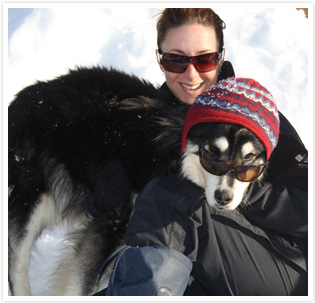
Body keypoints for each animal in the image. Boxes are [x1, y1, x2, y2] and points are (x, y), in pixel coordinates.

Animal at [9, 67, 270, 296]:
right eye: (213, 152)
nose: (223, 198)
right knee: (17, 262)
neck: (172, 154)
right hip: (33, 198)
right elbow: (80, 285)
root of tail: (29, 94)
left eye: (250, 158)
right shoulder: (111, 219)